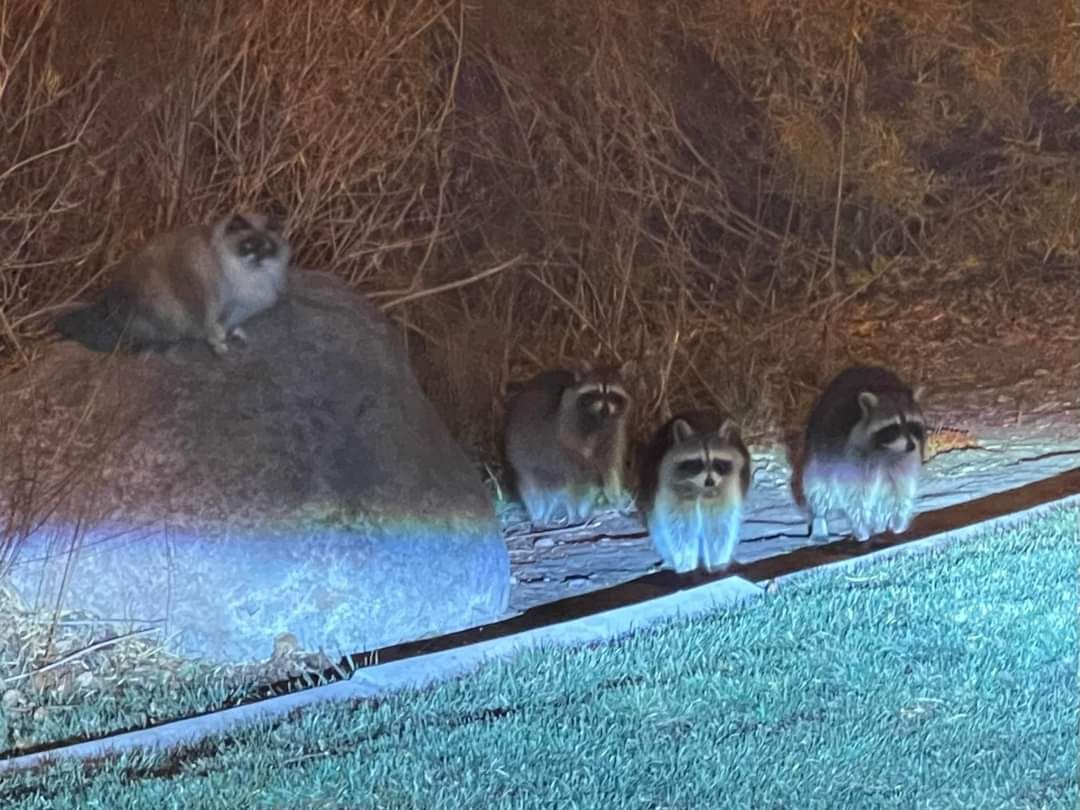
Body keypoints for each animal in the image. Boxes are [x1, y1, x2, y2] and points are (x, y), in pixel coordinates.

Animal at [53, 212, 291, 358]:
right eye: (247, 245)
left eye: (266, 247)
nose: (258, 259)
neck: (250, 277)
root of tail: (109, 302)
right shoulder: (208, 297)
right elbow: (210, 326)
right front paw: (219, 345)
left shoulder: (241, 306)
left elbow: (228, 324)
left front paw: (235, 335)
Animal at [503, 365, 630, 529]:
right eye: (595, 393)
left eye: (613, 395)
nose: (605, 410)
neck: (598, 421)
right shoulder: (565, 431)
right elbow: (572, 478)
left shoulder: (614, 432)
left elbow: (610, 468)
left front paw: (615, 499)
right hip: (525, 450)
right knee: (534, 486)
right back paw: (543, 514)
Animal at [639, 412, 751, 578]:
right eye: (697, 463)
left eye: (717, 462)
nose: (710, 482)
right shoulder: (672, 490)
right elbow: (680, 529)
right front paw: (686, 567)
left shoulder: (725, 490)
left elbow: (718, 527)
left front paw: (717, 565)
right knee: (659, 531)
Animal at [803, 367, 928, 546]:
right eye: (894, 428)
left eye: (912, 425)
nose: (911, 446)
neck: (887, 450)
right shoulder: (848, 456)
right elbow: (853, 494)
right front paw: (861, 527)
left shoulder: (905, 458)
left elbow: (903, 487)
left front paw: (900, 519)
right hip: (818, 454)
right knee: (818, 489)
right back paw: (819, 521)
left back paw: (880, 522)